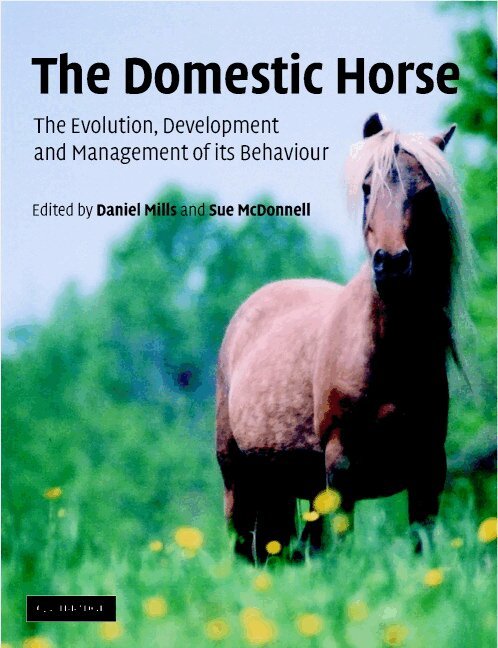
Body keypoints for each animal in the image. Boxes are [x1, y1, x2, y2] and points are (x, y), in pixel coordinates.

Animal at [216, 113, 468, 562]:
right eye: (367, 187)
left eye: (426, 193)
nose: (392, 263)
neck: (388, 357)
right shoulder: (340, 470)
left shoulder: (427, 471)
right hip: (239, 480)